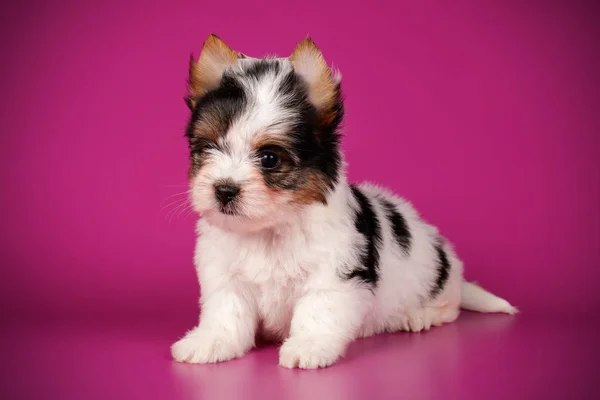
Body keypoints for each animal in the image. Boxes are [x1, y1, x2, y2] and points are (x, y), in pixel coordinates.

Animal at [170, 34, 516, 368]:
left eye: (269, 158)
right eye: (208, 148)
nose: (224, 189)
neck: (270, 227)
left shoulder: (335, 269)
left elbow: (318, 309)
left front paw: (309, 346)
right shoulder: (225, 274)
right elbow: (227, 310)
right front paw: (211, 341)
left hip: (435, 275)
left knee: (450, 307)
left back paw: (420, 315)